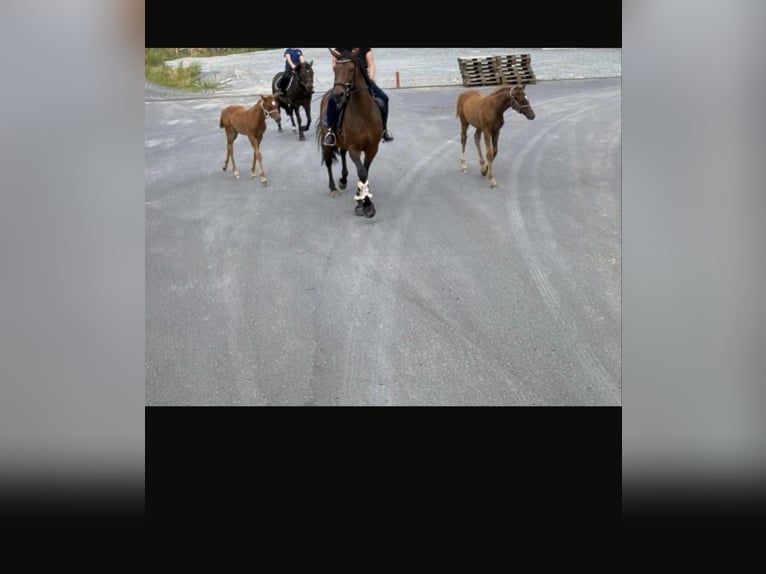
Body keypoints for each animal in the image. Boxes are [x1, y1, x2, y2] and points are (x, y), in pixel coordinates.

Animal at [316, 47, 384, 217]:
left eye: (351, 69)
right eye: (335, 69)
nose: (338, 94)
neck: (363, 113)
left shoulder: (372, 148)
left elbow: (365, 172)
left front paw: (364, 200)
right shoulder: (355, 148)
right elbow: (362, 172)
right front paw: (365, 204)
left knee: (342, 153)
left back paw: (343, 179)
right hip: (328, 142)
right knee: (328, 161)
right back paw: (333, 188)